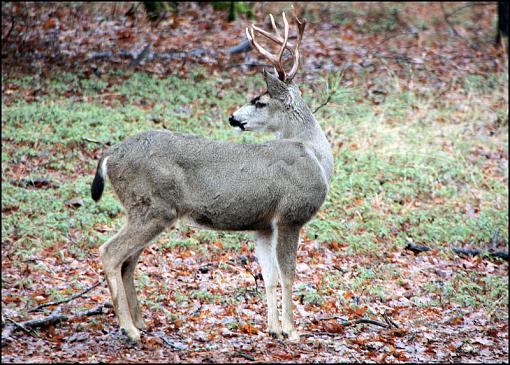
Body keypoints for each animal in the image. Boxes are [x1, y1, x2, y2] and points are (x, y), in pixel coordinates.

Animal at [91, 10, 334, 342]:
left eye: (260, 101)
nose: (233, 117)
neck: (314, 155)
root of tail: (110, 156)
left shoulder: (264, 225)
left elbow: (269, 276)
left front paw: (272, 328)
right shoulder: (290, 215)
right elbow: (288, 275)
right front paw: (292, 331)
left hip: (142, 209)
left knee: (128, 261)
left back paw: (140, 322)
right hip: (153, 206)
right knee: (110, 253)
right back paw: (129, 329)